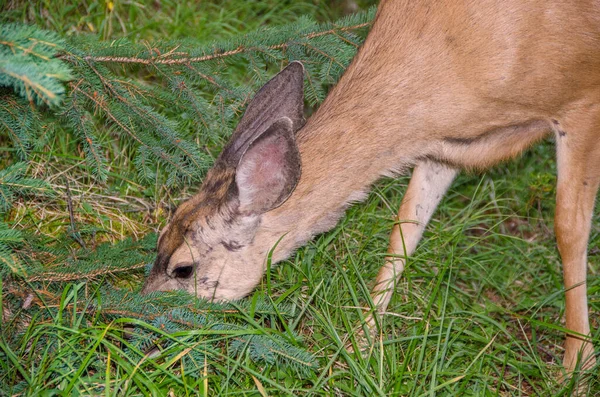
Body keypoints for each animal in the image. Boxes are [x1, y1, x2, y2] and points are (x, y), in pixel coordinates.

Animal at [143, 0, 596, 372]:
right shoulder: (444, 148)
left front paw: (577, 365)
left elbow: (568, 229)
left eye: (183, 269)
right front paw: (360, 344)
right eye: (157, 241)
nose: (137, 315)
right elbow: (405, 229)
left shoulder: (581, 103)